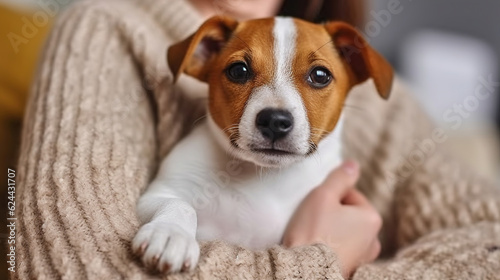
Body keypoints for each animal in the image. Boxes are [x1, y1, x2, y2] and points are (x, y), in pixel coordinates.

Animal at [133, 15, 394, 274]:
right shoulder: (159, 194)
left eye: (320, 75)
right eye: (238, 71)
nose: (275, 121)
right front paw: (170, 234)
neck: (266, 176)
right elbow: (180, 205)